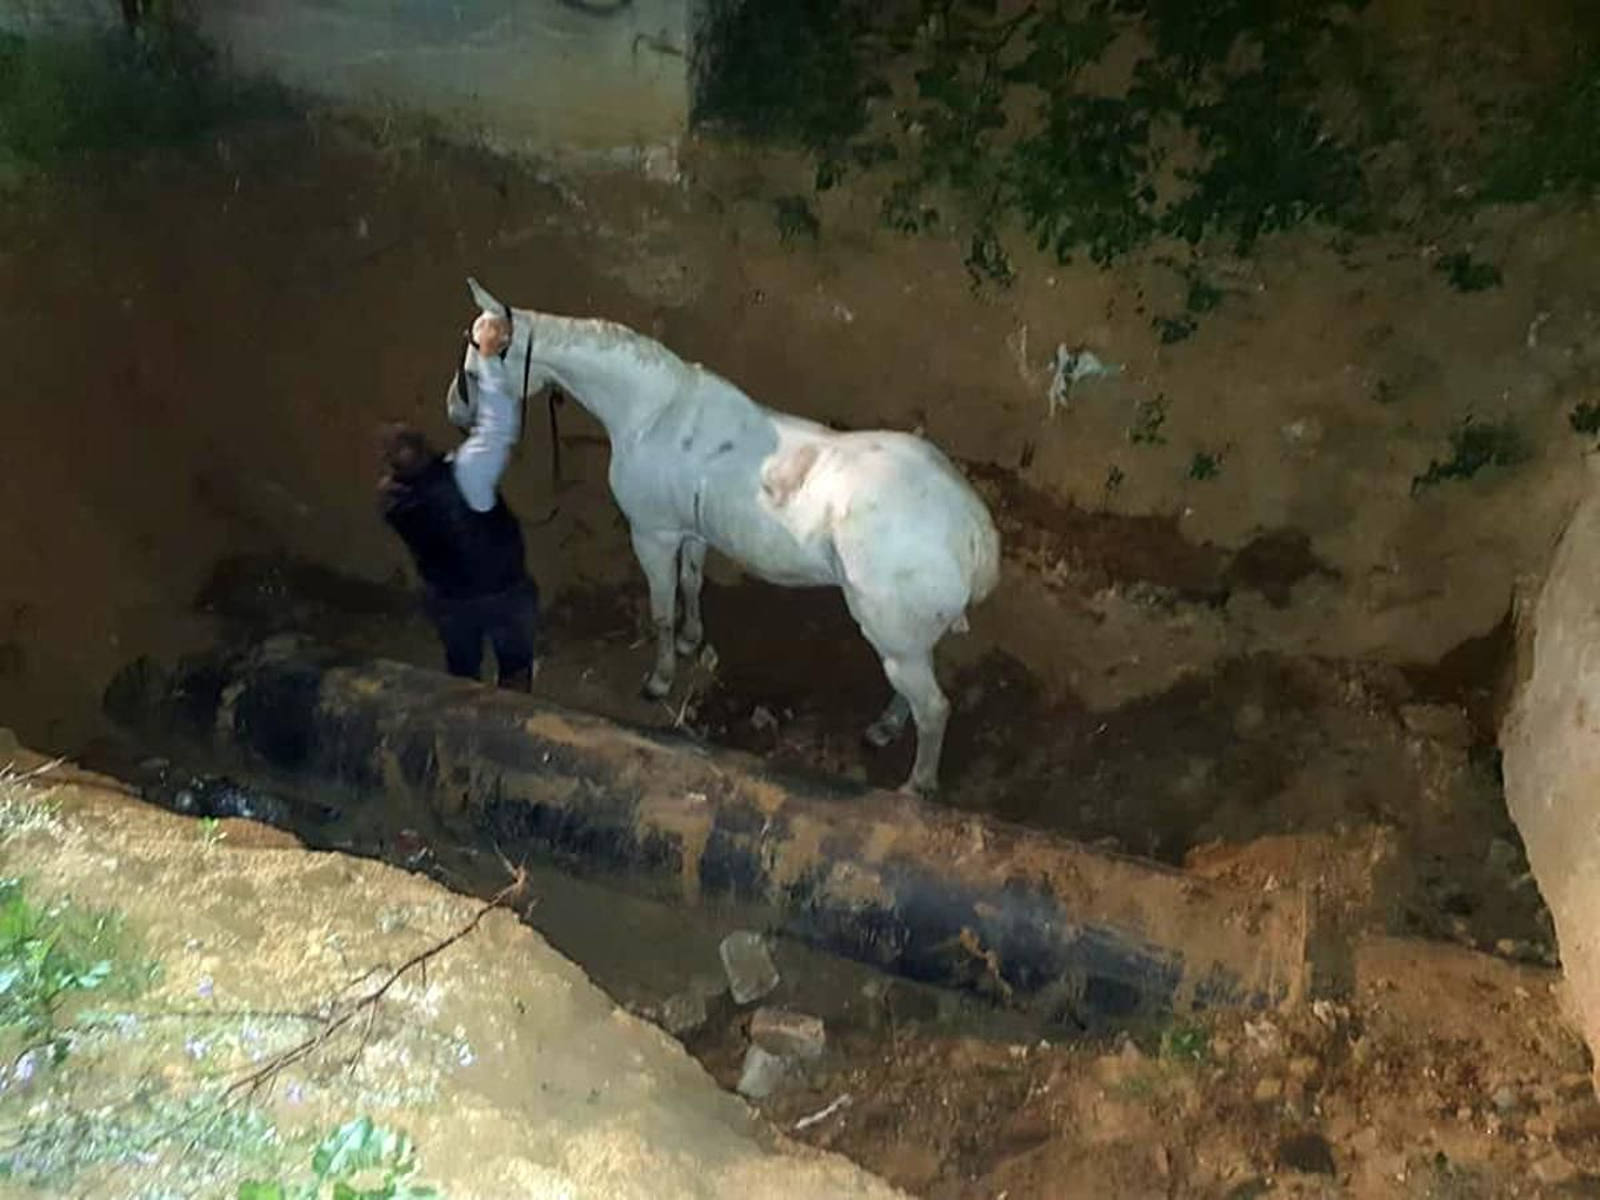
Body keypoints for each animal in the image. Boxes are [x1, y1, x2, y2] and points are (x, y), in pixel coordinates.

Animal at [447, 278, 1001, 795]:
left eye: (474, 372)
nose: (455, 412)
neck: (652, 413)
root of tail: (971, 529)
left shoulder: (653, 535)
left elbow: (662, 610)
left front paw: (661, 678)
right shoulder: (690, 531)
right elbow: (692, 585)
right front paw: (693, 640)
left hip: (895, 639)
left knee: (934, 710)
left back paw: (915, 787)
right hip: (902, 638)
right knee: (913, 694)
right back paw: (885, 728)